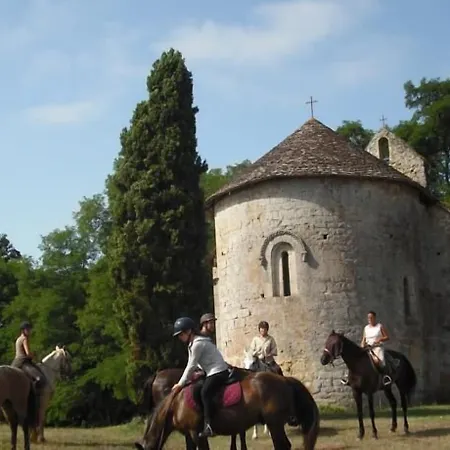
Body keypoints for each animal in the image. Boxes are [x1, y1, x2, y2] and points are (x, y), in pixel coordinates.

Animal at [136, 370, 320, 450]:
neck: (175, 404)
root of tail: (284, 379)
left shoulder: (196, 433)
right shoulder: (190, 434)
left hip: (274, 424)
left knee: (282, 446)